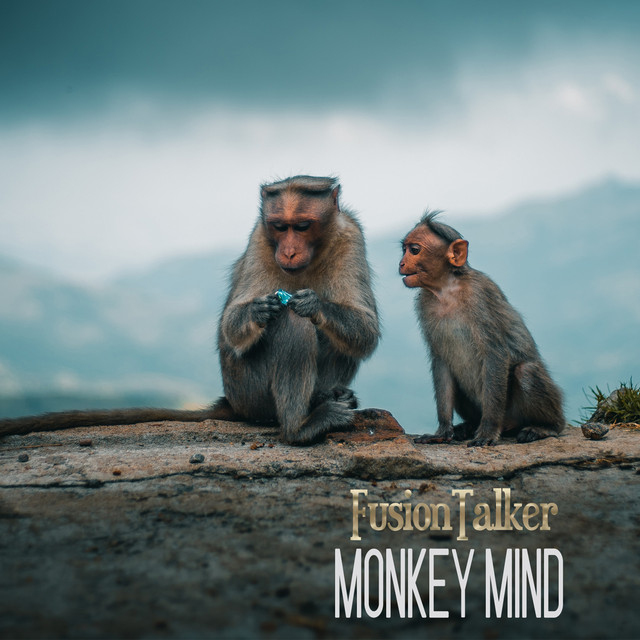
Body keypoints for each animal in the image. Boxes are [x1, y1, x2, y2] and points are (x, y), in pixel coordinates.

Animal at [0, 176, 380, 445]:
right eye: (278, 226)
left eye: (301, 226)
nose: (287, 251)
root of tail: (232, 401)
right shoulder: (259, 237)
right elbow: (233, 327)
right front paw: (259, 310)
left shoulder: (351, 236)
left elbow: (366, 330)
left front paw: (312, 303)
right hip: (251, 392)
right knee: (293, 324)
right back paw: (300, 427)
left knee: (329, 333)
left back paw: (326, 396)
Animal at [399, 211, 564, 447]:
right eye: (404, 249)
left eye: (414, 250)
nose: (401, 263)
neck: (447, 289)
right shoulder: (425, 304)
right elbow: (441, 360)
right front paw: (443, 431)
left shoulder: (481, 296)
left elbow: (496, 353)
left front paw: (488, 431)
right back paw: (468, 426)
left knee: (526, 371)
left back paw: (546, 426)